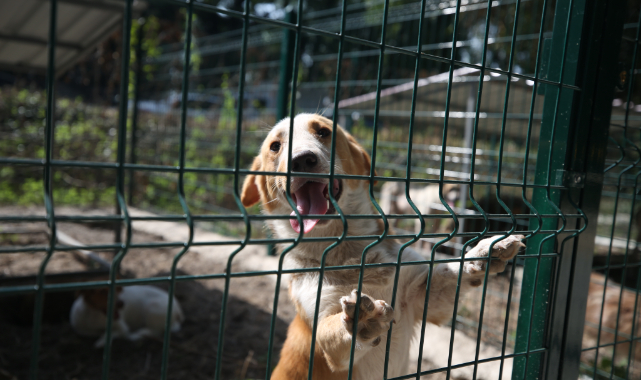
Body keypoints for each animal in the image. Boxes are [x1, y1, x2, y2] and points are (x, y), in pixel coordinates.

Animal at [241, 113, 524, 380]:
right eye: (275, 146)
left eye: (323, 131)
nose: (301, 160)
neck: (346, 250)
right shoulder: (321, 328)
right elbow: (334, 328)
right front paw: (360, 322)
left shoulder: (426, 297)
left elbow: (451, 271)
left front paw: (484, 252)